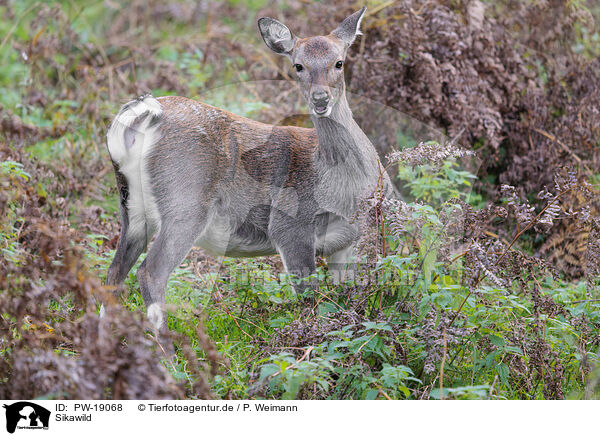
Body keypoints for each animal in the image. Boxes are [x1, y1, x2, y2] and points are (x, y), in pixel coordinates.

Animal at [105, 6, 392, 332]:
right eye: (298, 66)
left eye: (339, 62)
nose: (320, 99)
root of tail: (143, 116)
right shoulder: (290, 226)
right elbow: (310, 300)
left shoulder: (349, 240)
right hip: (185, 201)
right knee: (150, 272)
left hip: (132, 206)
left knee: (113, 273)